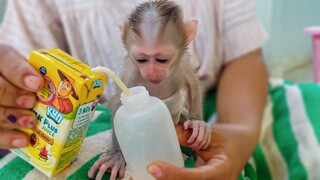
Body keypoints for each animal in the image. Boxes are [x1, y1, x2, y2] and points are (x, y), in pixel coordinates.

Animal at [89, 0, 211, 179]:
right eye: (141, 59)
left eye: (162, 59)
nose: (152, 72)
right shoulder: (131, 75)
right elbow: (118, 105)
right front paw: (116, 155)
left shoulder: (180, 66)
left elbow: (193, 84)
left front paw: (197, 123)